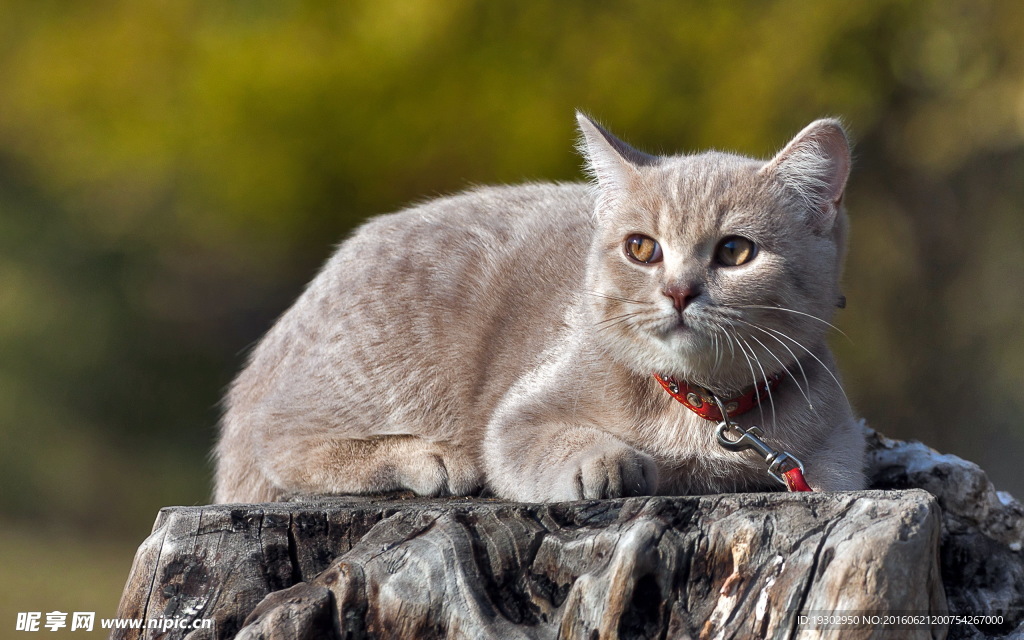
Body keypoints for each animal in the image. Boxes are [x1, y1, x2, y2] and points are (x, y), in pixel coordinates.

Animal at [214, 113, 864, 503]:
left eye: (734, 251)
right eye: (642, 248)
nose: (679, 291)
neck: (704, 410)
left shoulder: (835, 455)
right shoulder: (517, 417)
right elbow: (541, 438)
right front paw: (605, 460)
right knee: (276, 436)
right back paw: (429, 456)